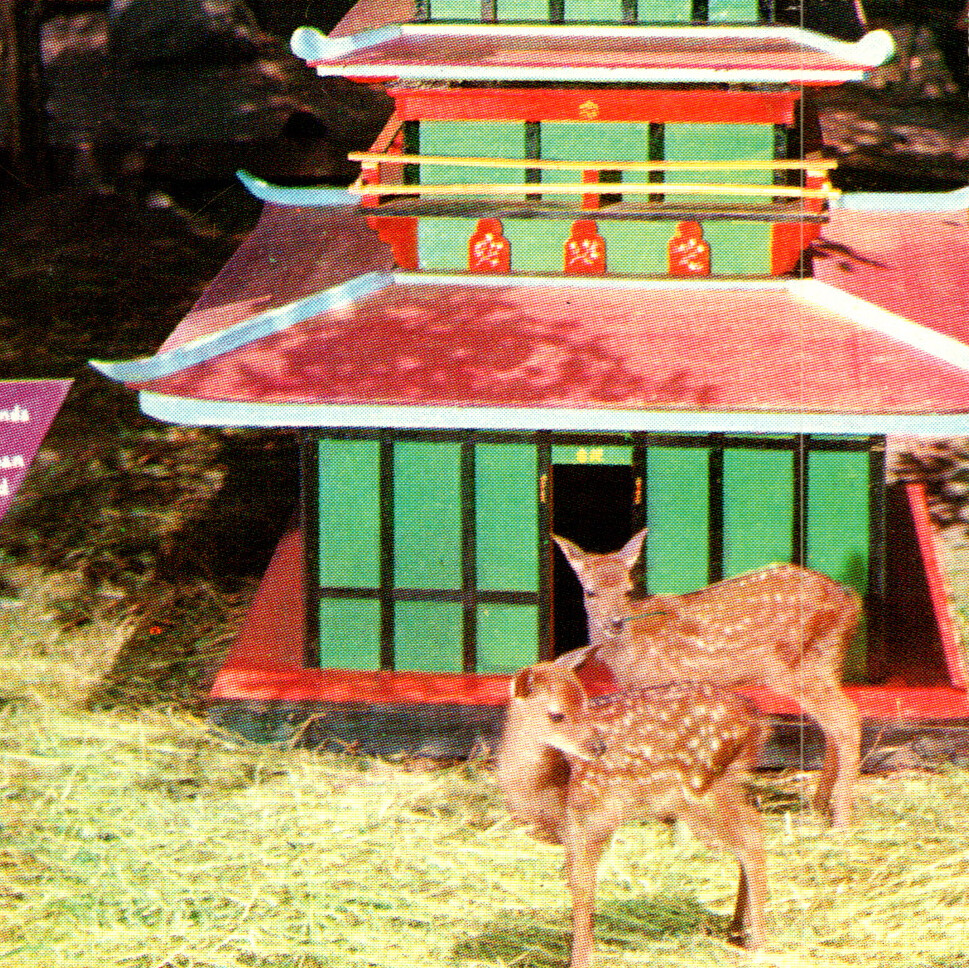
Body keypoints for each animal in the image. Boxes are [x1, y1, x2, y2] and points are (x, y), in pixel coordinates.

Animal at [496, 662, 768, 967]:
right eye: (557, 714)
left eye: (585, 705)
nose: (599, 747)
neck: (544, 783)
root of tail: (757, 721)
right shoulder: (566, 828)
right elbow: (573, 885)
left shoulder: (595, 816)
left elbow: (583, 889)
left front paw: (581, 959)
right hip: (727, 782)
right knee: (751, 828)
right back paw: (736, 930)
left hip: (698, 790)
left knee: (751, 837)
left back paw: (758, 946)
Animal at [553, 528, 863, 827]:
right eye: (590, 592)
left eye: (628, 591)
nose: (615, 622)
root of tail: (850, 600)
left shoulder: (665, 682)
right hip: (828, 662)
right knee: (833, 726)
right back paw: (820, 806)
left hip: (798, 667)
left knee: (847, 718)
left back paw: (841, 819)